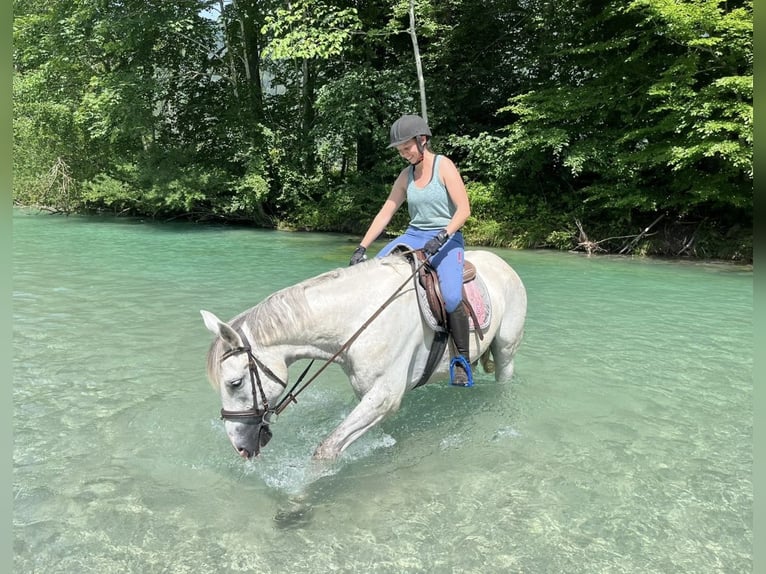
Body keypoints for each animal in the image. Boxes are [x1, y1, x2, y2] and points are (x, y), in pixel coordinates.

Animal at [201, 252, 528, 464]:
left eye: (234, 383)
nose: (239, 447)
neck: (360, 317)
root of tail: (502, 263)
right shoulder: (368, 395)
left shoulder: (384, 396)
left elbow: (325, 452)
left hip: (506, 351)